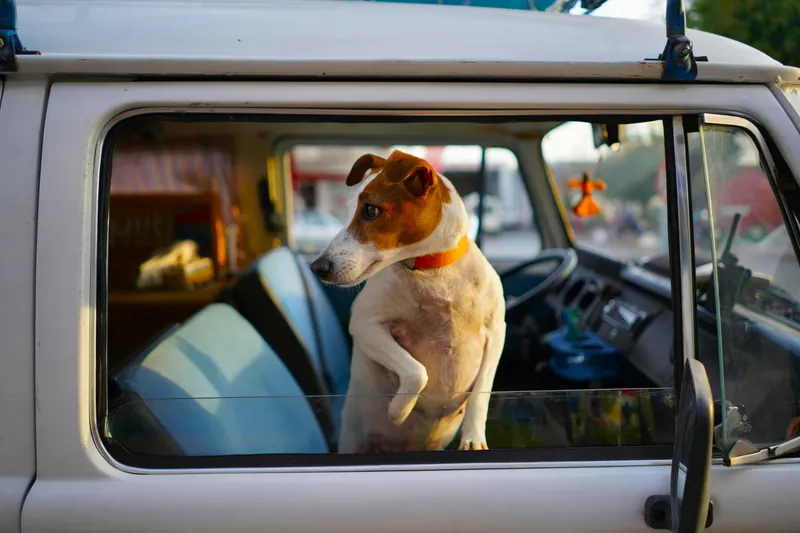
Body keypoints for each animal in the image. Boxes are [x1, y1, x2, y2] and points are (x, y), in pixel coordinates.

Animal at [312, 150, 506, 454]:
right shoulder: (365, 326)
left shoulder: (496, 333)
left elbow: (481, 392)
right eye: (349, 208)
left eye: (370, 210)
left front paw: (473, 438)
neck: (432, 272)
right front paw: (398, 410)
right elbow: (417, 371)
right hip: (352, 441)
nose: (317, 267)